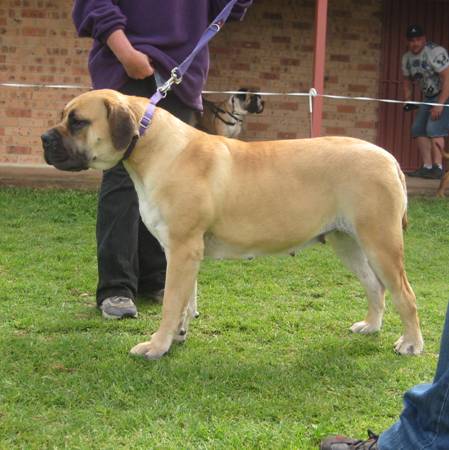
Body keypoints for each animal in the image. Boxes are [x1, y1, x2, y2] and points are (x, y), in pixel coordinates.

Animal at [42, 89, 424, 360]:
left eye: (77, 121)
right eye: (62, 116)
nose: (44, 139)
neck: (153, 145)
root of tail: (388, 156)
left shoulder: (182, 248)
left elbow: (171, 304)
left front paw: (156, 346)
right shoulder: (183, 252)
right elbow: (186, 299)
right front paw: (177, 335)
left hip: (380, 242)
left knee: (404, 293)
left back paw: (411, 343)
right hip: (347, 242)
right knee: (375, 287)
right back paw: (371, 326)